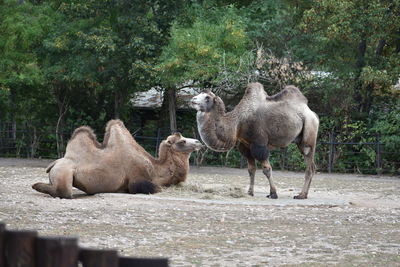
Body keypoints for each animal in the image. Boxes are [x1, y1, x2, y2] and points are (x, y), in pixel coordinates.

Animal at [32, 119, 203, 199]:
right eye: (182, 141)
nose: (198, 142)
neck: (155, 169)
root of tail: (54, 164)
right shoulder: (137, 181)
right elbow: (156, 188)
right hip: (64, 172)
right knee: (64, 192)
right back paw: (37, 186)